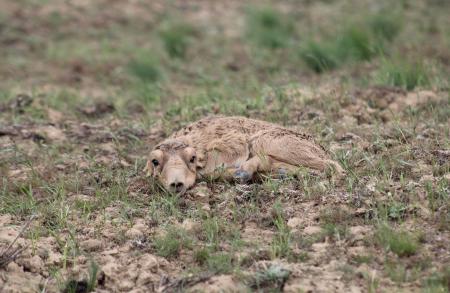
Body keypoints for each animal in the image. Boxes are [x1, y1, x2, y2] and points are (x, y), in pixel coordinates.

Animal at [146, 115, 342, 193]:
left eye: (192, 158)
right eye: (155, 161)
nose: (176, 183)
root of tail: (321, 148)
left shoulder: (234, 146)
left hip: (269, 141)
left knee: (335, 167)